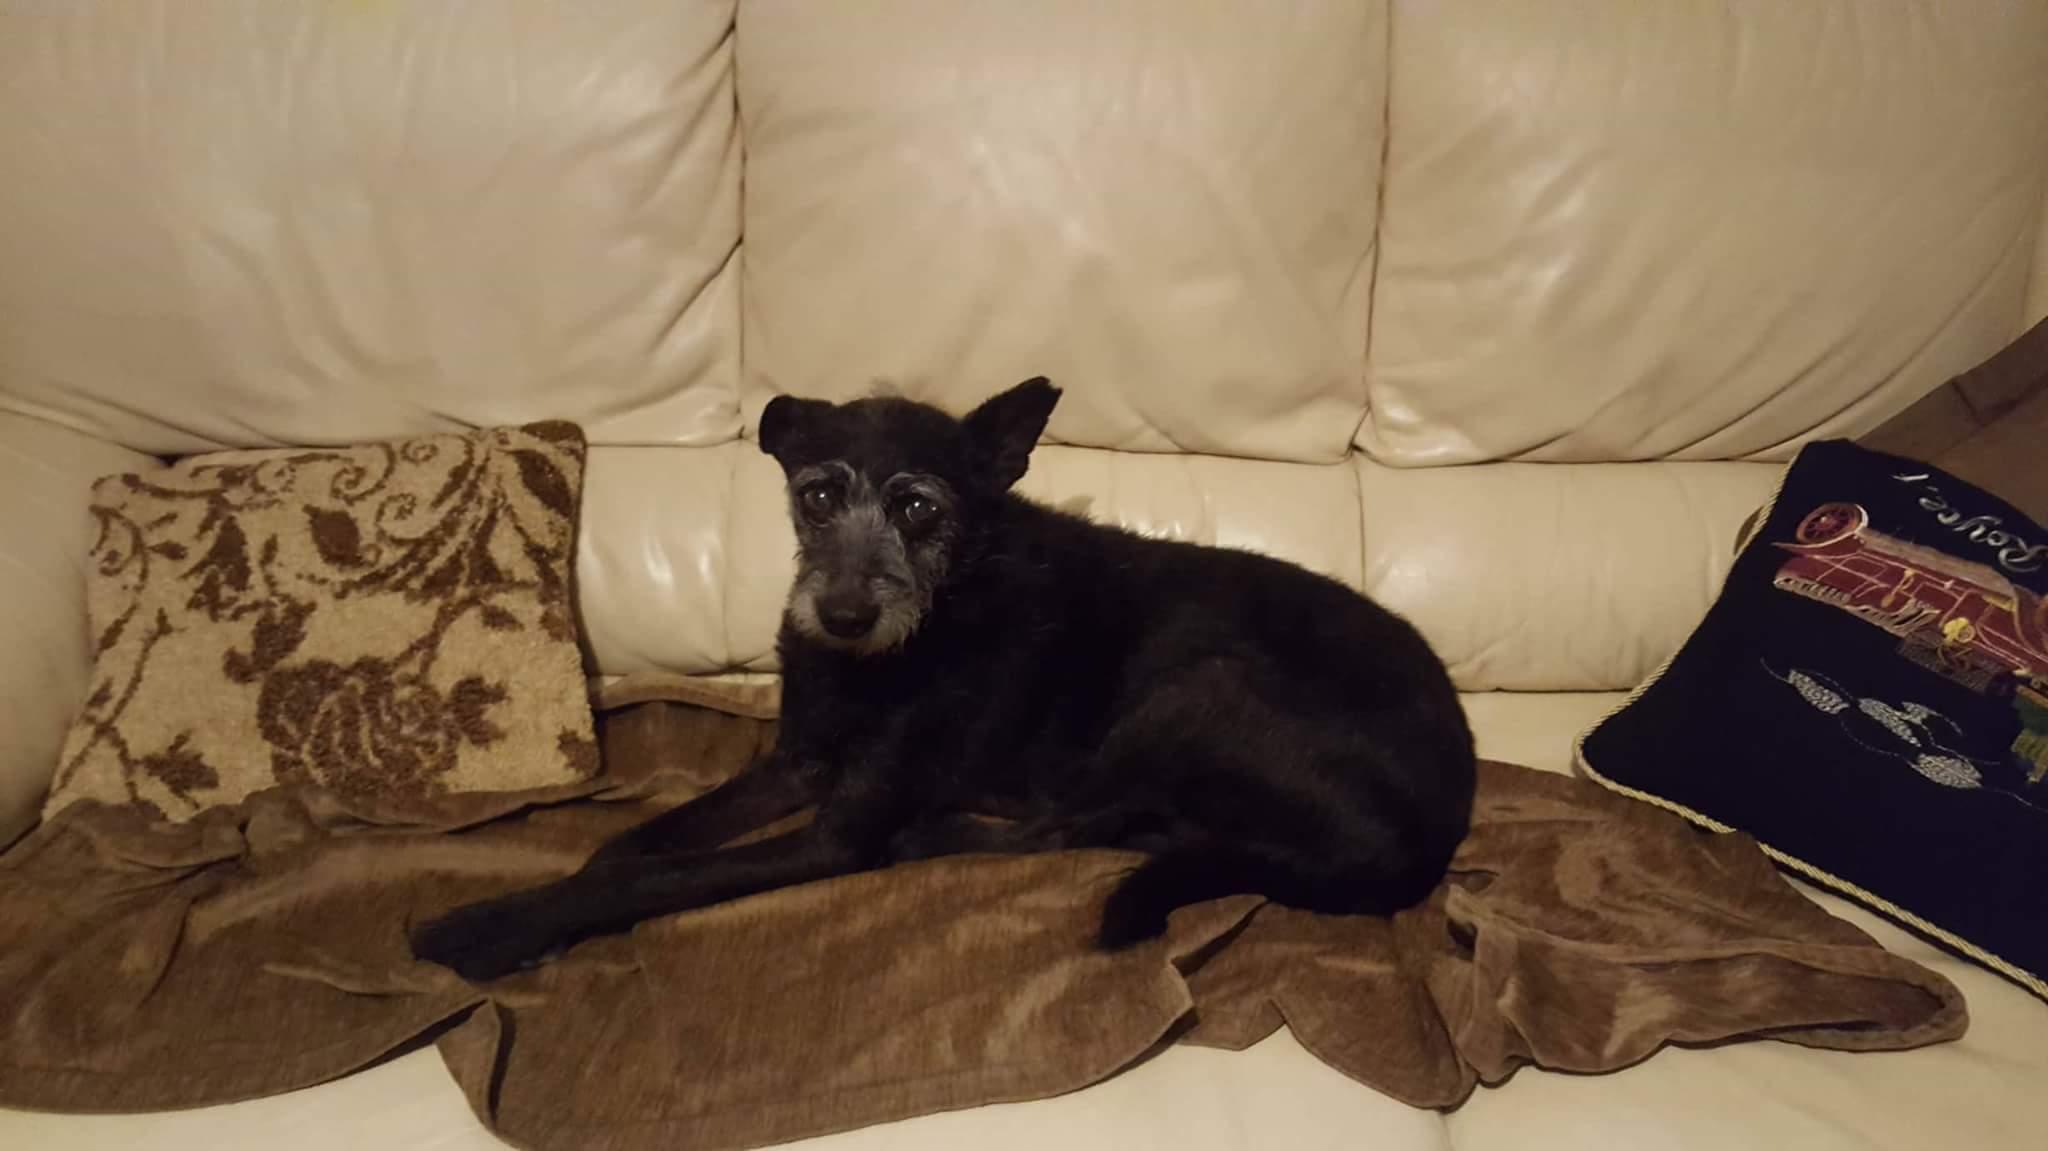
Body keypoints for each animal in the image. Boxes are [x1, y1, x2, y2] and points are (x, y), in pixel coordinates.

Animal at [411, 378, 1476, 981]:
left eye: (920, 507)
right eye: (818, 494)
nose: (842, 616)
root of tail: (1431, 836)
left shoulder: (837, 831)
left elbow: (667, 873)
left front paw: (495, 924)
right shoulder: (799, 763)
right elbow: (641, 842)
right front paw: (569, 895)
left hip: (1194, 689)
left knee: (1067, 830)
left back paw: (939, 833)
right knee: (1131, 828)